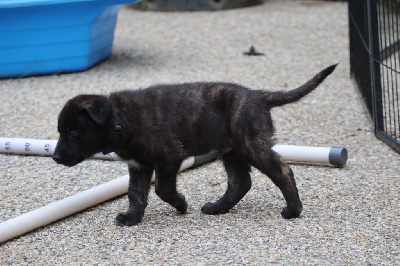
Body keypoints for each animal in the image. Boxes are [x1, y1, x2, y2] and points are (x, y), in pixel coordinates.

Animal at [52, 63, 338, 225]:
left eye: (72, 132)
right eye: (61, 132)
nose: (54, 157)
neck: (120, 119)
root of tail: (259, 96)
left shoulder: (169, 156)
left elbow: (162, 189)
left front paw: (180, 204)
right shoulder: (139, 166)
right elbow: (136, 194)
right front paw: (132, 218)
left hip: (250, 144)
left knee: (283, 170)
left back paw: (293, 210)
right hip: (231, 150)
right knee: (240, 182)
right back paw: (217, 208)